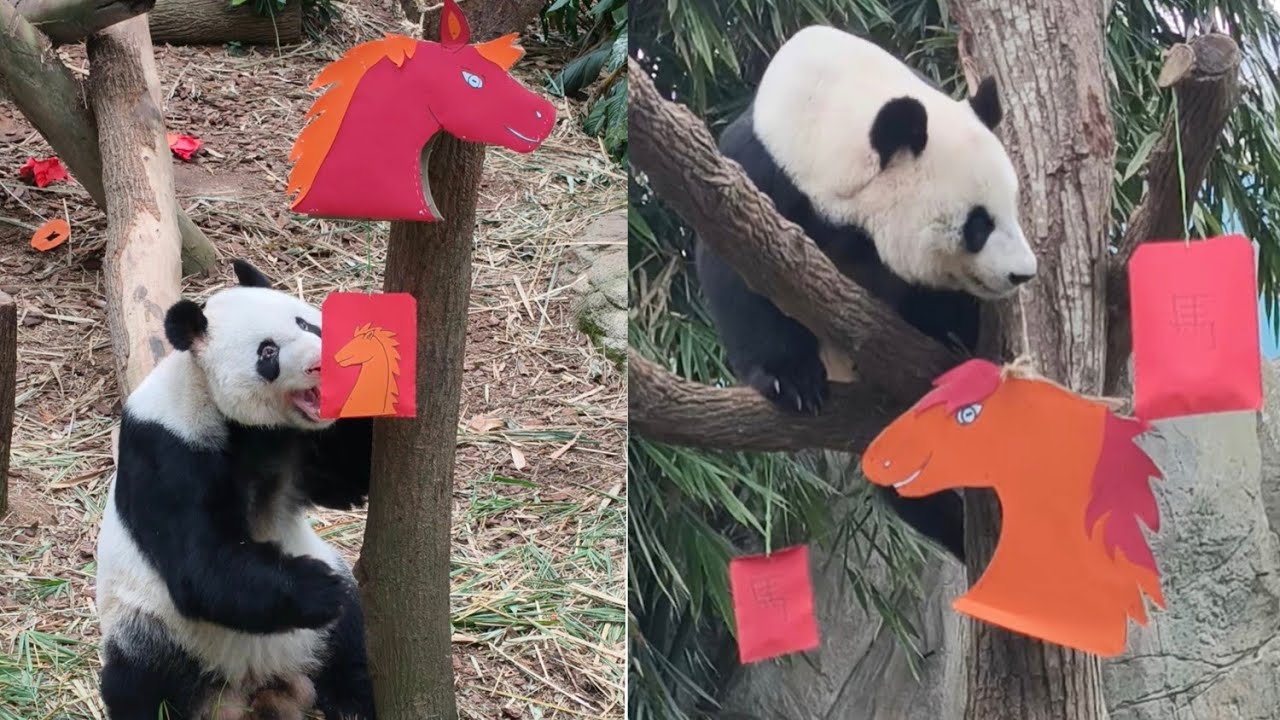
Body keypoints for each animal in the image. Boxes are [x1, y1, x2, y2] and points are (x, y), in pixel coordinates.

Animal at [94, 260, 375, 720]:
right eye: (268, 353)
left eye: (305, 323)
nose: (319, 365)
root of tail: (256, 686)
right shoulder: (168, 448)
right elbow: (202, 563)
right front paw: (318, 587)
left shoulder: (298, 443)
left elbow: (346, 483)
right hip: (154, 629)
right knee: (136, 681)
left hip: (315, 637)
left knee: (350, 639)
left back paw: (353, 700)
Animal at [694, 26, 1039, 560]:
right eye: (978, 224)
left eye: (1013, 206)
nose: (1023, 274)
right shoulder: (761, 172)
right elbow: (739, 273)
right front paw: (792, 381)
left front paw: (955, 340)